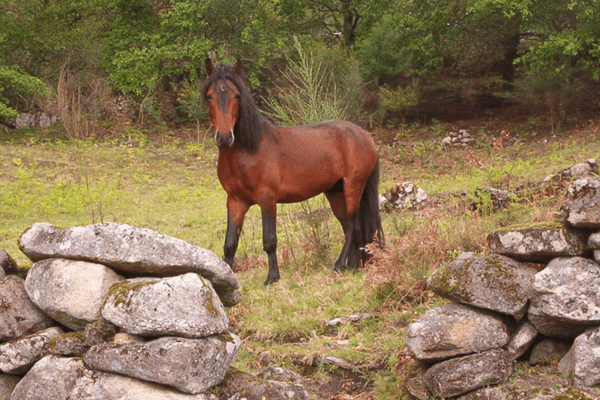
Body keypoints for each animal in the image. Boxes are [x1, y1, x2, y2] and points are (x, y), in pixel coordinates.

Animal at [203, 58, 384, 284]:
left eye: (237, 95)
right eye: (209, 95)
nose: (225, 137)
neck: (249, 151)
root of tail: (365, 136)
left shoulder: (267, 198)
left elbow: (269, 240)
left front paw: (272, 278)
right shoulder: (236, 201)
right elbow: (230, 244)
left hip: (353, 186)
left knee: (353, 227)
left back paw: (339, 265)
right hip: (335, 192)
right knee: (348, 228)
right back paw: (351, 266)